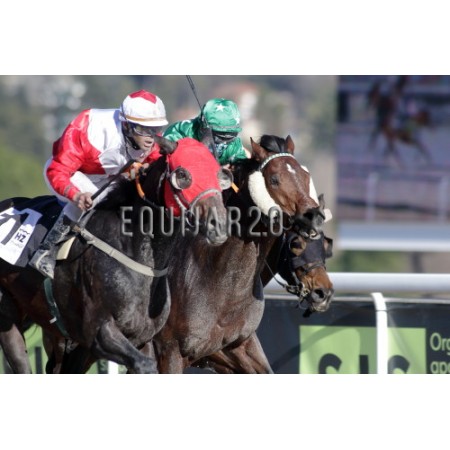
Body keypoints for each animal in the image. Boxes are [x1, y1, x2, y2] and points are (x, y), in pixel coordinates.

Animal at [0, 136, 232, 374]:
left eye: (218, 174)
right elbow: (144, 364)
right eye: (183, 174)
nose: (218, 224)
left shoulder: (140, 338)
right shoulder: (101, 331)